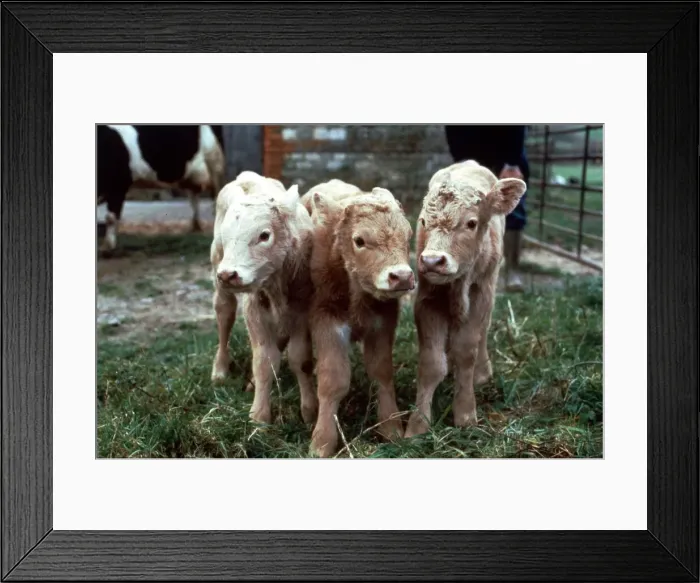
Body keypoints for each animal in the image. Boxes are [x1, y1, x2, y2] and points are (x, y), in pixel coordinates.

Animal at [97, 124, 225, 252]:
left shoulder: (119, 186)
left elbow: (111, 217)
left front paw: (107, 246)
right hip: (190, 176)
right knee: (194, 198)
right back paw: (194, 228)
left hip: (215, 165)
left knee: (217, 197)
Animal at [210, 171, 318, 426]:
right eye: (226, 236)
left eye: (264, 235)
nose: (228, 275)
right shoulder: (254, 311)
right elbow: (264, 362)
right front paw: (259, 417)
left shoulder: (303, 311)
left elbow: (300, 359)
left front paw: (309, 411)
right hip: (219, 276)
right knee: (224, 315)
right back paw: (220, 370)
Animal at [305, 182, 415, 457]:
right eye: (359, 240)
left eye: (408, 235)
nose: (402, 277)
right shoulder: (326, 319)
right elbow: (333, 380)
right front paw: (321, 443)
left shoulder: (383, 321)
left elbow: (382, 372)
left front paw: (392, 429)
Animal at [405, 160, 527, 438]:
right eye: (423, 221)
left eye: (471, 223)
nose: (432, 261)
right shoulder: (428, 298)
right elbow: (431, 362)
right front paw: (417, 425)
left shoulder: (480, 294)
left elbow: (466, 352)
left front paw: (465, 414)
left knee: (483, 332)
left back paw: (482, 373)